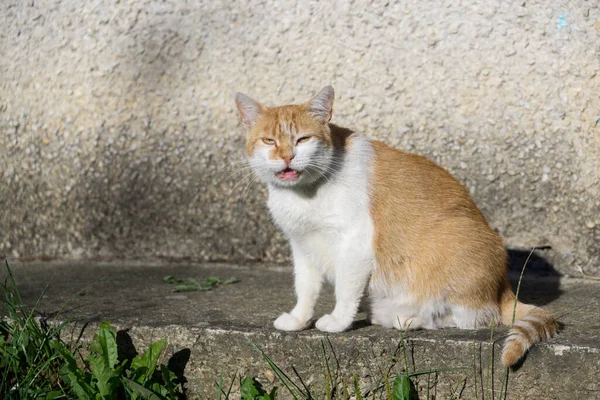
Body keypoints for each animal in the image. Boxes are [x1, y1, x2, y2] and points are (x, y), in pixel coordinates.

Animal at [233, 86, 556, 368]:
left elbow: (345, 290)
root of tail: (504, 287)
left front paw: (338, 322)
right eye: (269, 141)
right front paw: (299, 320)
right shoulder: (302, 247)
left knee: (473, 318)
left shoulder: (355, 245)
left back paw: (413, 320)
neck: (303, 195)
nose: (287, 156)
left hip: (454, 241)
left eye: (302, 139)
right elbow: (305, 289)